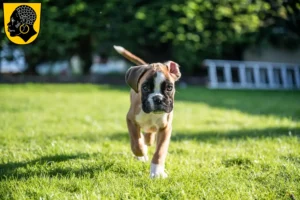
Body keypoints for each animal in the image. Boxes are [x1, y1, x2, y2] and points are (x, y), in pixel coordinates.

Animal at [114, 45, 180, 178]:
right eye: (144, 87)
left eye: (169, 88)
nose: (158, 99)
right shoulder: (130, 120)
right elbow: (136, 143)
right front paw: (142, 153)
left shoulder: (165, 128)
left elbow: (160, 151)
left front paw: (157, 172)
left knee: (149, 134)